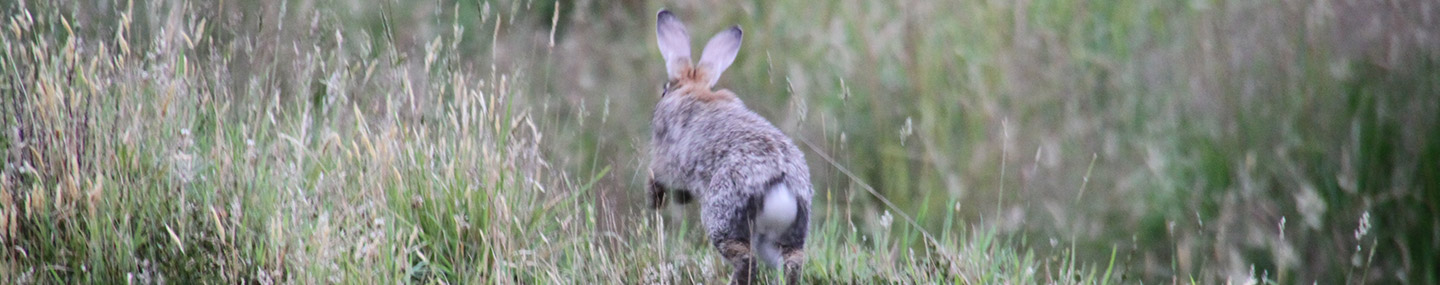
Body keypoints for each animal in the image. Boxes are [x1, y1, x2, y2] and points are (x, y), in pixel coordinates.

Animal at [650, 8, 817, 285]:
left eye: (664, 90)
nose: (662, 92)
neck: (693, 89)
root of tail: (780, 184)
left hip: (723, 218)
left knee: (745, 260)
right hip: (783, 236)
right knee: (792, 262)